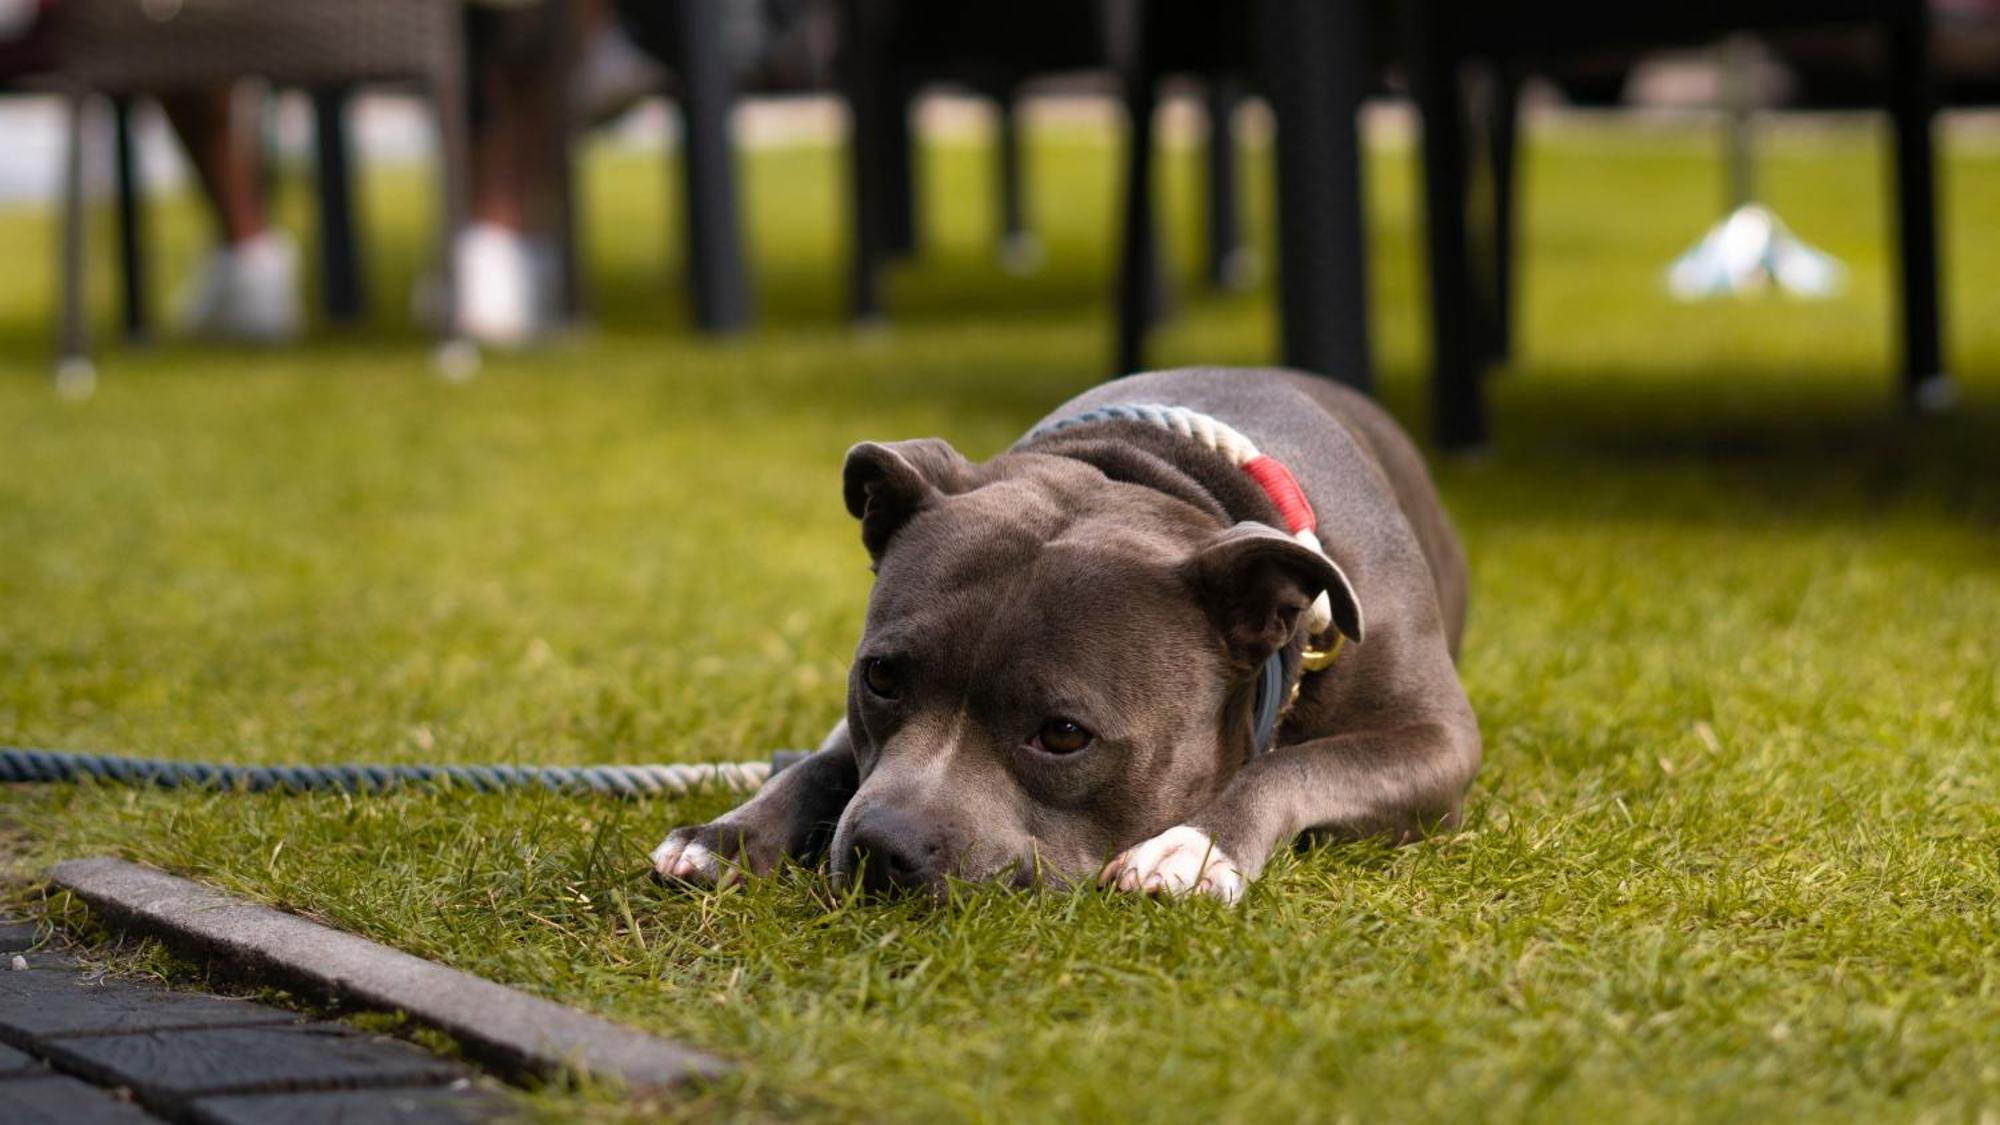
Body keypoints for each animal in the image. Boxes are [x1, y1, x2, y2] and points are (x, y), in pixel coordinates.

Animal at [648, 368, 1480, 900]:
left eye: (1063, 734)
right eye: (879, 676)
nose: (882, 846)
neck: (1159, 472)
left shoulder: (1439, 741)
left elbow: (1292, 766)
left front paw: (1196, 844)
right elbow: (822, 761)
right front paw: (726, 834)